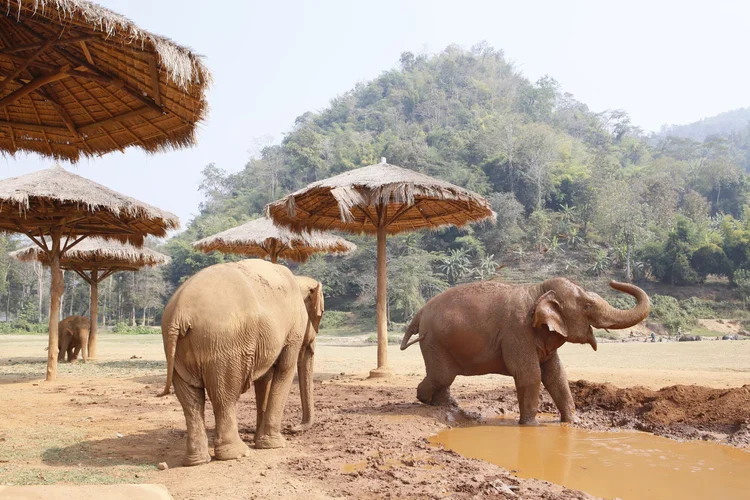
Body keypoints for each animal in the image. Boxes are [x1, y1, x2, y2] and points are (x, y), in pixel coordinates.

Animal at [159, 259, 323, 466]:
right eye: (320, 315)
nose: (292, 428)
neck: (298, 279)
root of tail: (180, 314)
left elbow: (265, 377)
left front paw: (260, 440)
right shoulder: (294, 327)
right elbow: (285, 369)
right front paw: (275, 444)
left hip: (178, 351)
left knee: (190, 397)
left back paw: (196, 461)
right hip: (224, 345)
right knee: (225, 395)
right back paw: (237, 453)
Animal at [400, 278, 650, 425]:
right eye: (588, 306)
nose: (612, 281)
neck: (539, 290)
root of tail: (420, 312)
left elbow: (556, 375)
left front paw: (572, 423)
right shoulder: (517, 331)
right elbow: (530, 374)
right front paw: (530, 425)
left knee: (444, 377)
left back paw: (445, 406)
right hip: (433, 341)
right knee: (442, 375)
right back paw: (424, 399)